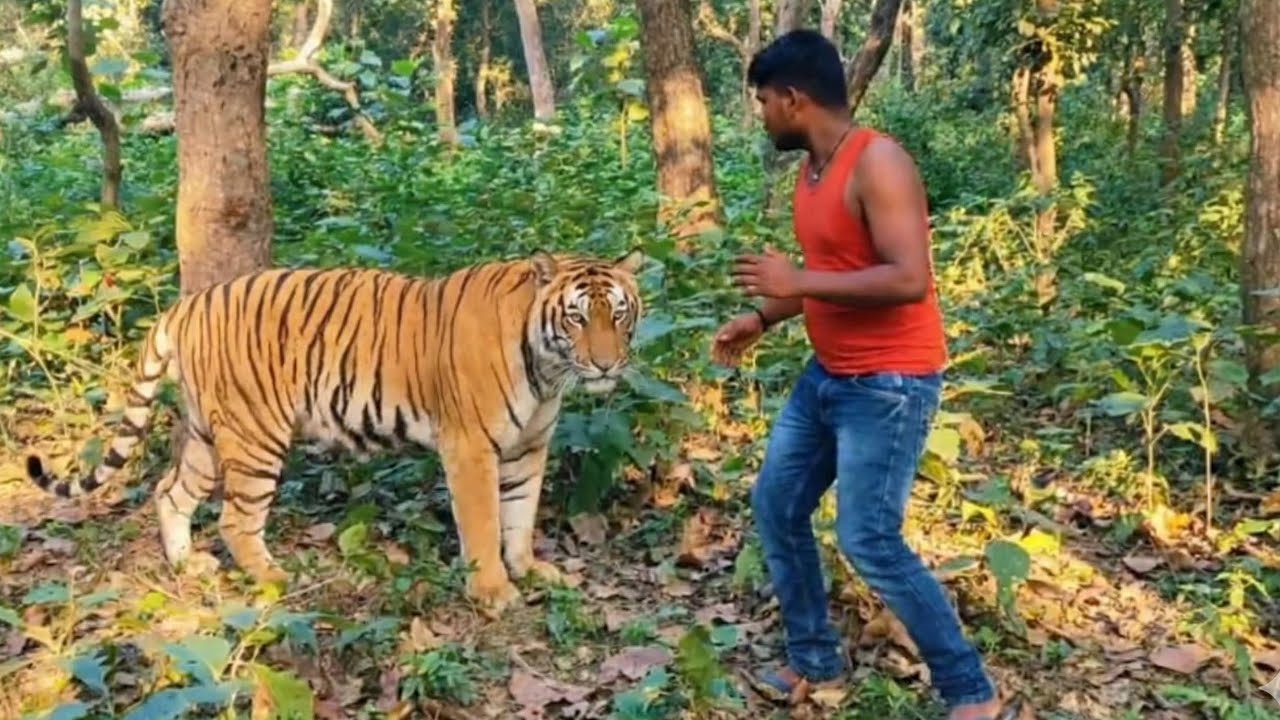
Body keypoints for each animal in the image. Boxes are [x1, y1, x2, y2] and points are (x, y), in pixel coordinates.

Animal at [25, 249, 645, 615]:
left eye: (618, 313)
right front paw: (493, 591)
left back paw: (187, 564)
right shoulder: (471, 448)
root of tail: (187, 305)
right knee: (235, 519)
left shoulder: (528, 448)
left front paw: (531, 571)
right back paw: (273, 578)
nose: (607, 364)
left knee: (169, 492)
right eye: (576, 317)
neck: (546, 370)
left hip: (205, 433)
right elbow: (485, 523)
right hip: (254, 436)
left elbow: (520, 516)